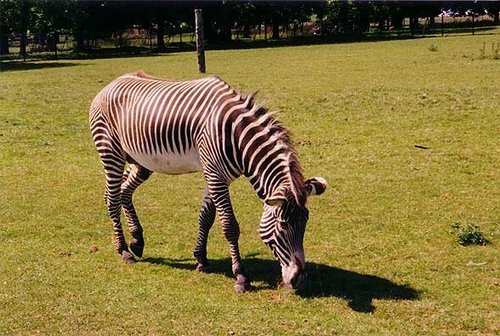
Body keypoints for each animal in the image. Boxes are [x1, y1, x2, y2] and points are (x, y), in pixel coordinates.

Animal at [89, 71, 328, 292]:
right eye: (283, 225)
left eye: (306, 223)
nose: (299, 279)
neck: (237, 138)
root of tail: (112, 83)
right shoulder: (215, 175)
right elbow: (229, 226)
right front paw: (241, 276)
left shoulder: (218, 176)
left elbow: (206, 217)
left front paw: (201, 259)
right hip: (111, 151)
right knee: (112, 198)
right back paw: (123, 250)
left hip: (140, 161)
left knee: (122, 192)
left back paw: (137, 241)